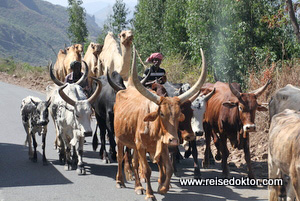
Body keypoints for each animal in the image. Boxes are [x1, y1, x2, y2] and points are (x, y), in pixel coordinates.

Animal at [112, 46, 206, 199]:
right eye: (161, 114)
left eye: (179, 114)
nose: (174, 139)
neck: (154, 130)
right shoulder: (142, 146)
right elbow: (147, 170)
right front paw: (150, 194)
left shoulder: (162, 146)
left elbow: (168, 168)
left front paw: (163, 187)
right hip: (120, 139)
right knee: (121, 157)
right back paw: (120, 181)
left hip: (135, 144)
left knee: (135, 162)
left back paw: (138, 186)